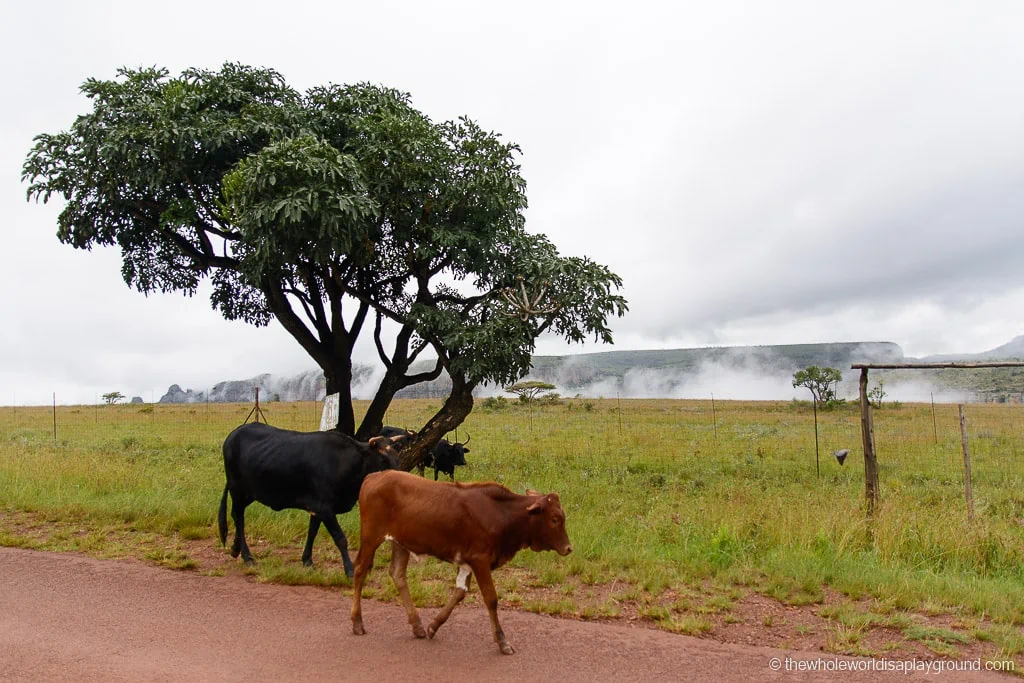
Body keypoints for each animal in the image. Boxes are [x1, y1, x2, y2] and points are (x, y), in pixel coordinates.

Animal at [219, 421, 399, 577]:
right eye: (382, 459)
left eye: (396, 457)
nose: (398, 477)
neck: (344, 463)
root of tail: (234, 434)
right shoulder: (325, 508)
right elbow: (340, 538)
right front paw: (349, 570)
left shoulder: (317, 508)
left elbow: (312, 532)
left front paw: (307, 560)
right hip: (237, 490)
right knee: (239, 518)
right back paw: (247, 556)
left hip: (249, 493)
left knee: (237, 516)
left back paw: (235, 549)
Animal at [350, 473, 577, 655]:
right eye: (555, 519)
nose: (568, 548)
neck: (502, 514)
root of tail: (373, 476)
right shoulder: (479, 559)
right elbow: (491, 598)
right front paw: (502, 641)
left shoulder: (467, 561)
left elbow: (459, 593)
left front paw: (434, 625)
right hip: (371, 537)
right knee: (360, 570)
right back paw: (357, 622)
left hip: (400, 543)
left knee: (397, 574)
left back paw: (417, 625)